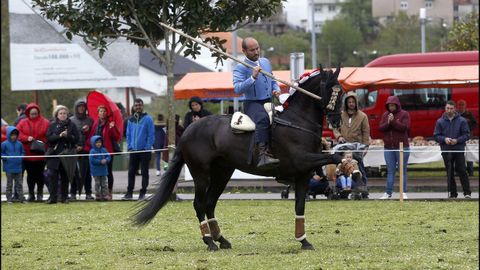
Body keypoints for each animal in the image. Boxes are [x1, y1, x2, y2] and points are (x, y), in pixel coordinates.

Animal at [132, 66, 344, 251]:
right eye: (328, 90)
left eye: (341, 92)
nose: (336, 121)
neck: (297, 121)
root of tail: (188, 131)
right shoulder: (303, 161)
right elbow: (335, 157)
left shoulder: (303, 173)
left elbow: (300, 205)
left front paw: (304, 241)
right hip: (201, 174)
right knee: (199, 204)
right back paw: (209, 242)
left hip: (222, 173)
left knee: (210, 203)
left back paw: (221, 239)